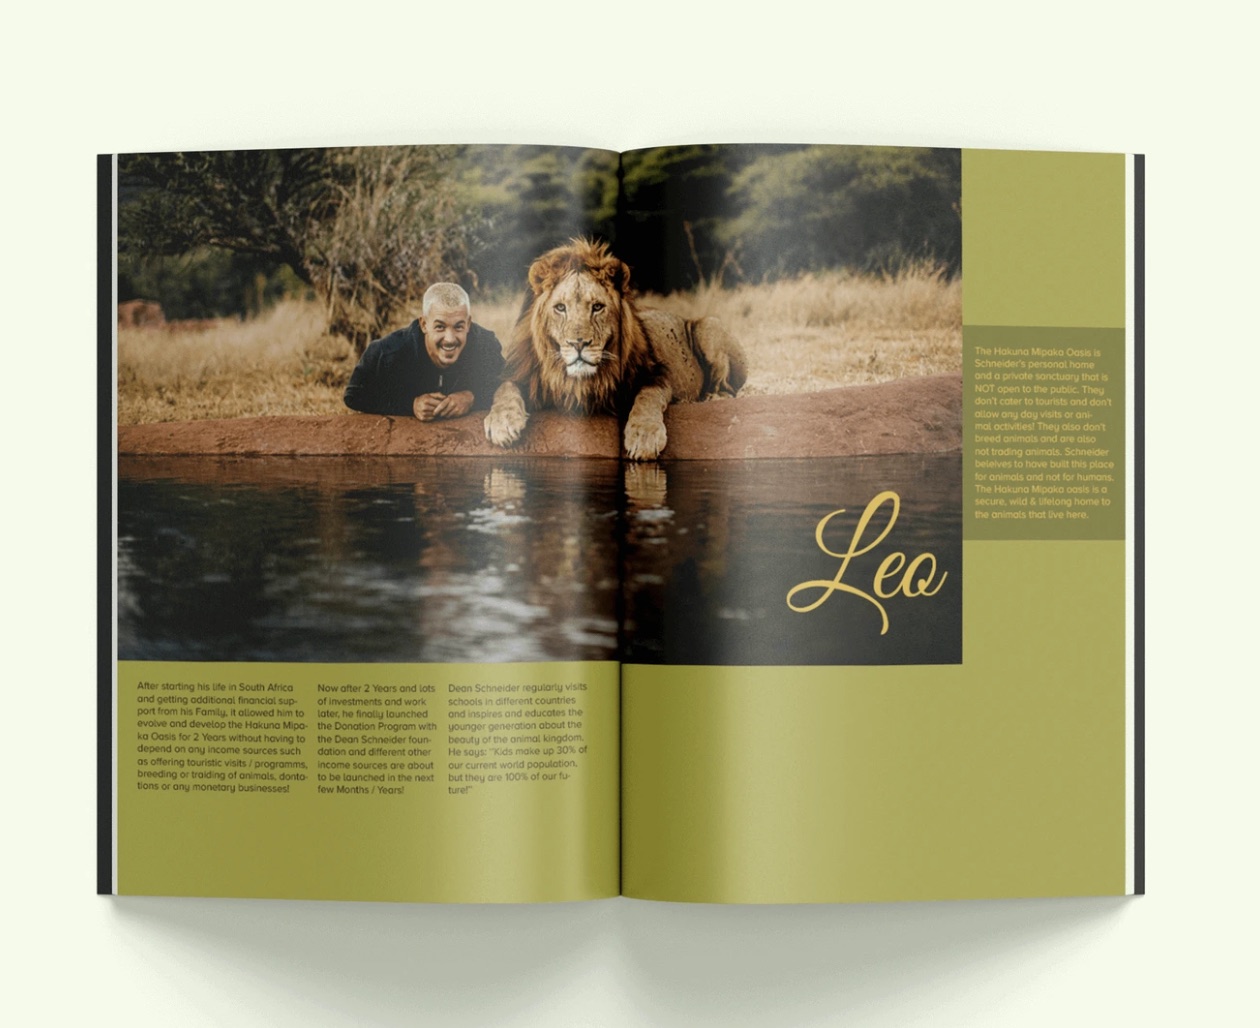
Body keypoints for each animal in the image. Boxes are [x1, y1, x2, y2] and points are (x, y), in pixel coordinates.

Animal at [483, 239, 747, 460]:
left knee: (729, 386)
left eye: (597, 307)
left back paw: (712, 397)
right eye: (560, 308)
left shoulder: (654, 373)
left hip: (710, 325)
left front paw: (644, 436)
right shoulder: (525, 375)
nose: (578, 344)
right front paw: (502, 423)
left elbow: (648, 397)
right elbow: (504, 388)